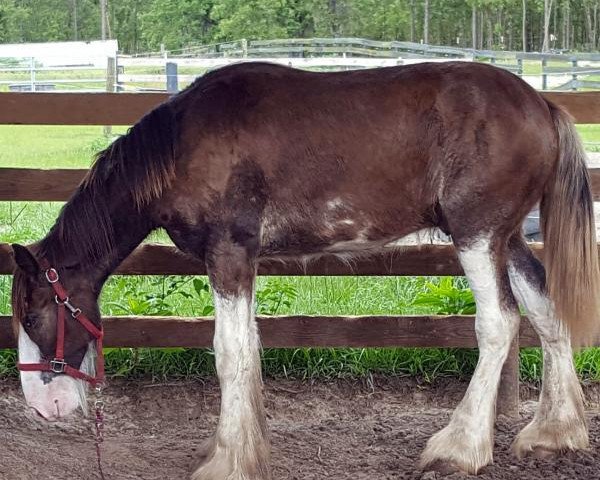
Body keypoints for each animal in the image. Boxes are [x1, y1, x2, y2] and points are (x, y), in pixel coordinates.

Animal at [10, 62, 600, 478]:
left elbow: (230, 352)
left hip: (477, 236)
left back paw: (459, 449)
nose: (41, 407)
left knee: (499, 323)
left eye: (33, 315)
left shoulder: (228, 254)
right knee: (546, 313)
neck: (180, 147)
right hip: (507, 239)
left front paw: (227, 461)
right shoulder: (244, 262)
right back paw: (553, 433)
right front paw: (243, 448)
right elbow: (249, 348)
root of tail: (542, 104)